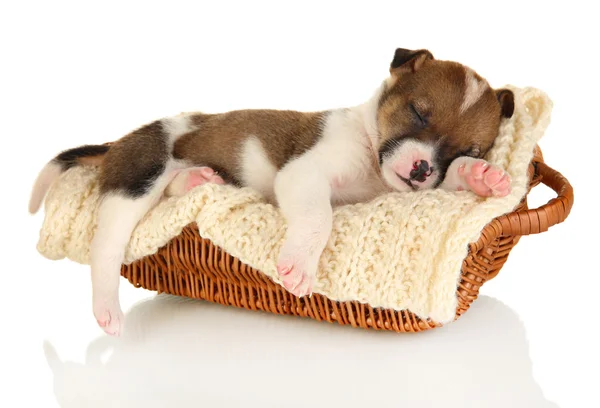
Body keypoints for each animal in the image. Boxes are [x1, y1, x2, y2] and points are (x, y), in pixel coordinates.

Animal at [28, 48, 512, 334]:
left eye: (466, 149)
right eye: (418, 112)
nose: (421, 168)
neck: (372, 159)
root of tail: (118, 143)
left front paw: (481, 176)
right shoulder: (304, 173)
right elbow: (318, 218)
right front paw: (299, 264)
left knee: (173, 191)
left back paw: (200, 179)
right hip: (140, 176)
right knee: (107, 244)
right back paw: (107, 307)